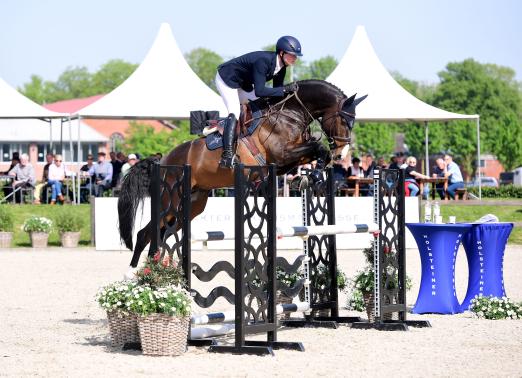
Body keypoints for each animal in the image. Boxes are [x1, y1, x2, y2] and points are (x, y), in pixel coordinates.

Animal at [118, 80, 364, 268]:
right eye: (344, 120)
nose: (342, 153)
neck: (289, 113)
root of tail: (163, 160)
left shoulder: (285, 161)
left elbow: (316, 152)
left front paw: (310, 177)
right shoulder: (283, 154)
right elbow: (318, 147)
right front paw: (313, 175)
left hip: (189, 206)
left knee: (160, 234)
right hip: (170, 201)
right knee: (145, 234)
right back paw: (136, 275)